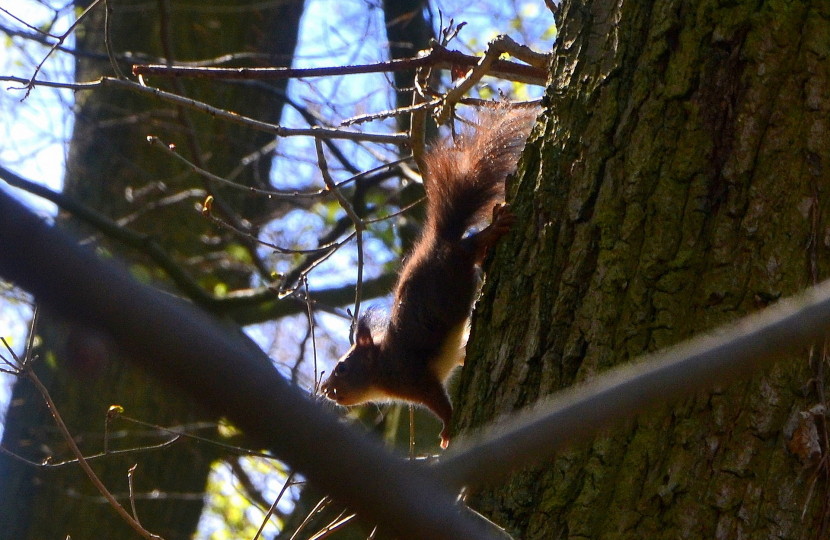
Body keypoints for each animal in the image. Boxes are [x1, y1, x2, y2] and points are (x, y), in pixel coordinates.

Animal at [322, 105, 536, 448]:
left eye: (341, 368)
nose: (325, 390)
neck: (382, 364)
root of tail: (441, 239)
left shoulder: (416, 379)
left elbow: (441, 404)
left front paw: (447, 430)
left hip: (456, 262)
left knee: (473, 245)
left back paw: (495, 227)